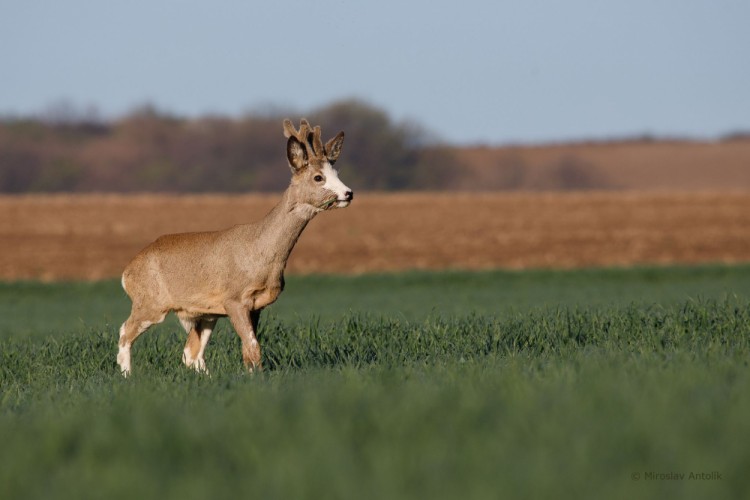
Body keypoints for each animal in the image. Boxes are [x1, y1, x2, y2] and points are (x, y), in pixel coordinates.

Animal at [117, 118, 352, 376]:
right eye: (318, 177)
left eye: (337, 173)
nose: (348, 193)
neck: (261, 251)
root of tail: (127, 272)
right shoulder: (235, 298)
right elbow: (252, 346)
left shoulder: (255, 305)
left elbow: (248, 348)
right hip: (150, 301)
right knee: (125, 332)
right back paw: (127, 375)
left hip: (205, 313)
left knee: (191, 353)